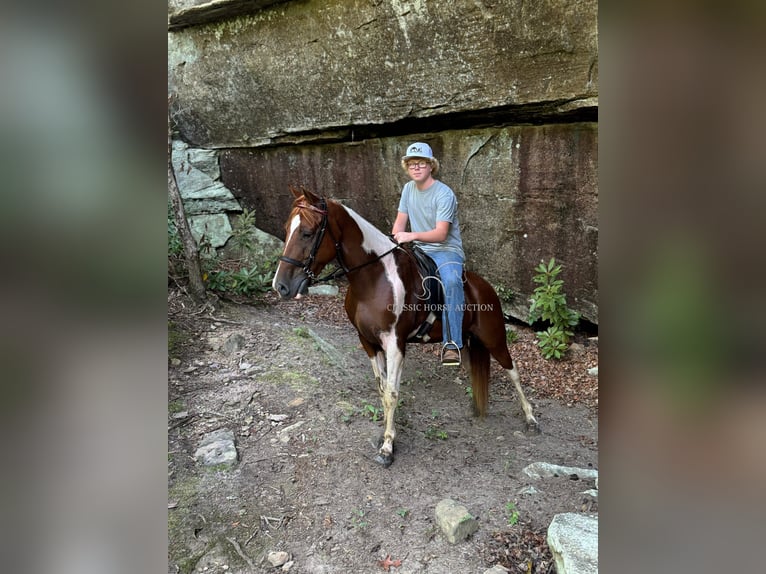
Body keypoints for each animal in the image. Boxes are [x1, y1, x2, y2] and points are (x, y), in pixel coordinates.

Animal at [274, 189, 540, 468]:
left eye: (307, 233)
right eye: (287, 229)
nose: (280, 286)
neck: (373, 278)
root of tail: (486, 288)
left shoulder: (394, 343)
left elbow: (392, 393)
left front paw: (387, 448)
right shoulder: (369, 343)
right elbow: (383, 389)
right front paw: (386, 435)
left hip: (494, 339)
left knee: (514, 372)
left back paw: (531, 419)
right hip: (468, 344)